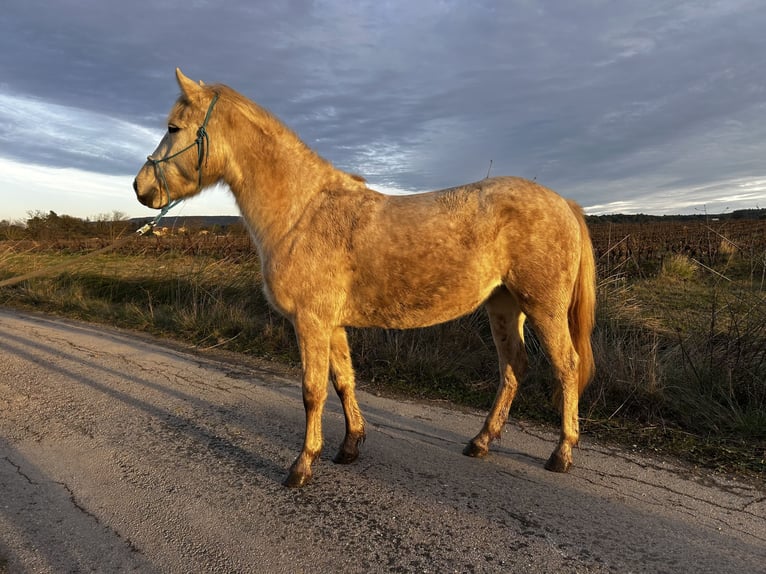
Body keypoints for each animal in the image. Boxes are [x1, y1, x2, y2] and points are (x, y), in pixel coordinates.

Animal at [133, 69, 596, 488]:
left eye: (173, 127)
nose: (141, 188)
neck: (303, 213)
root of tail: (564, 203)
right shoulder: (332, 324)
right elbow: (343, 383)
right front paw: (350, 446)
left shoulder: (312, 322)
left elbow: (312, 391)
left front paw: (302, 466)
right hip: (503, 305)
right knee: (514, 368)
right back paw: (481, 441)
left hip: (543, 307)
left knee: (566, 367)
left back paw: (562, 453)